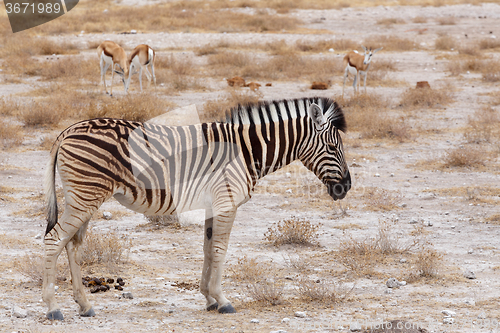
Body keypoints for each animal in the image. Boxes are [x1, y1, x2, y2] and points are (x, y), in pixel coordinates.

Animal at [41, 96, 350, 320]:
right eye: (333, 147)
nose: (345, 187)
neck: (246, 151)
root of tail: (68, 131)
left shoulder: (213, 204)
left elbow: (208, 248)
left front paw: (209, 298)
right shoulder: (226, 202)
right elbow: (220, 250)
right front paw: (222, 300)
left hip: (84, 197)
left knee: (72, 244)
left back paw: (84, 305)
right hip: (85, 195)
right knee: (53, 240)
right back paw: (53, 308)